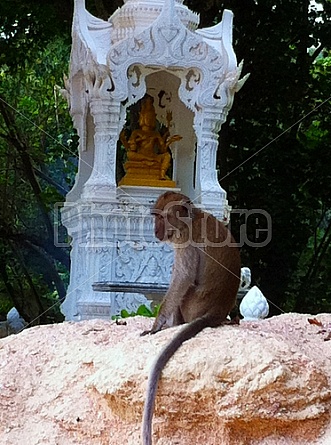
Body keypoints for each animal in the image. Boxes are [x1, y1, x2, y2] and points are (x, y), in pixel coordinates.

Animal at [141, 191, 241, 444]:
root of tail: (216, 312)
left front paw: (156, 326)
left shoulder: (185, 240)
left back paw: (172, 326)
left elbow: (182, 279)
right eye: (154, 217)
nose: (155, 231)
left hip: (191, 306)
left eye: (162, 217)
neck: (191, 219)